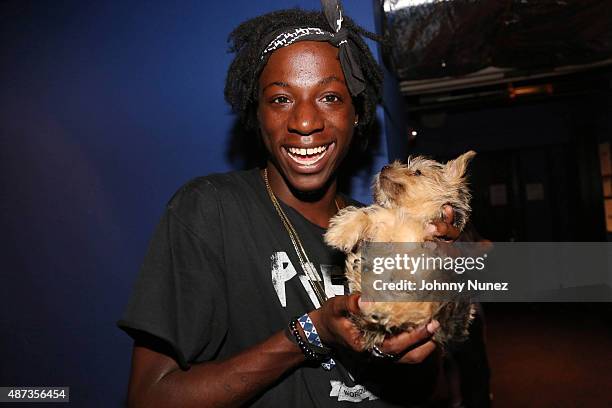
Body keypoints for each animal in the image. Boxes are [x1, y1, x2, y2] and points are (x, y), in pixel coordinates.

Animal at [326, 151, 478, 350]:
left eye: (418, 172)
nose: (384, 167)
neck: (409, 215)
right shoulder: (384, 221)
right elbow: (367, 215)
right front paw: (341, 231)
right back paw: (358, 270)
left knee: (416, 310)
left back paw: (377, 303)